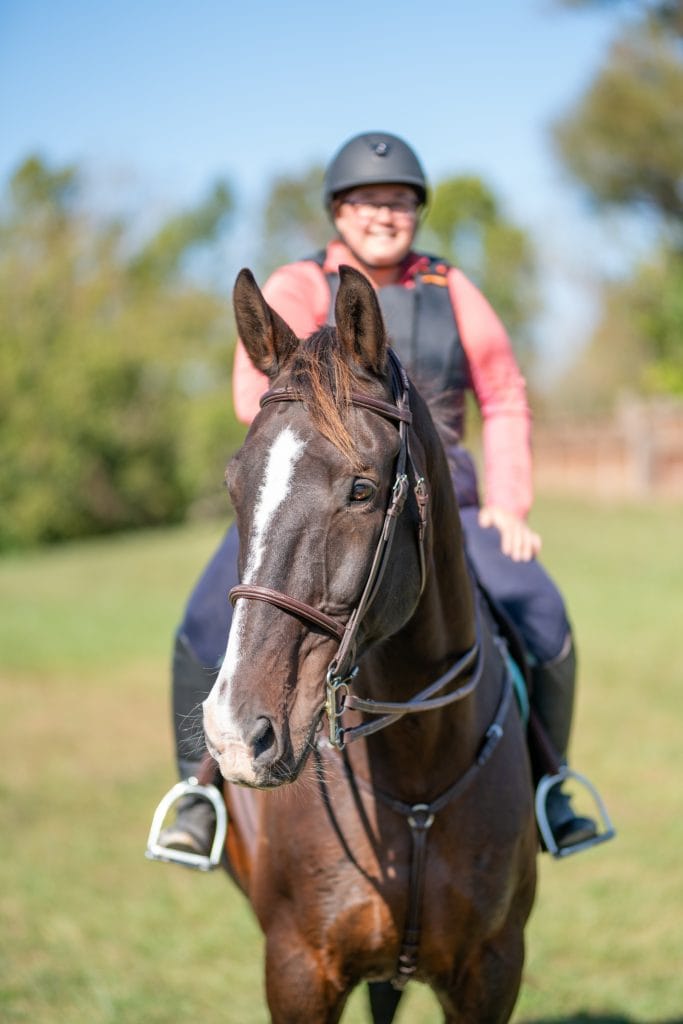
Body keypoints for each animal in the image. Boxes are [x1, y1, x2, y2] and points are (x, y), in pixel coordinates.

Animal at [202, 265, 537, 1023]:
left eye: (361, 489)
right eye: (235, 486)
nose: (238, 733)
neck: (416, 771)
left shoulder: (492, 969)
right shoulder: (298, 969)